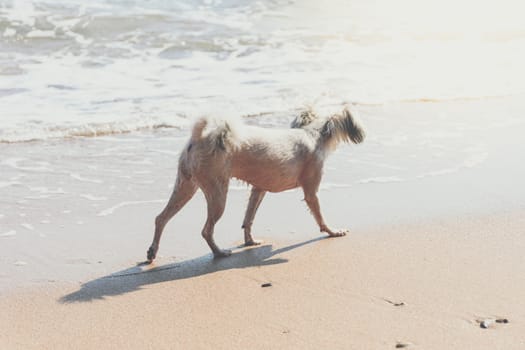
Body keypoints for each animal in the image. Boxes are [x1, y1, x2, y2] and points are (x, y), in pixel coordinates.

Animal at [145, 108, 362, 262]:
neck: (312, 133)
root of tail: (199, 139)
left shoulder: (258, 189)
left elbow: (248, 218)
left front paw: (250, 241)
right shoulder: (311, 192)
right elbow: (320, 217)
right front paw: (333, 232)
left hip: (185, 187)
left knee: (161, 218)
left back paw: (152, 251)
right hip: (217, 194)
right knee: (206, 230)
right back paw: (219, 252)